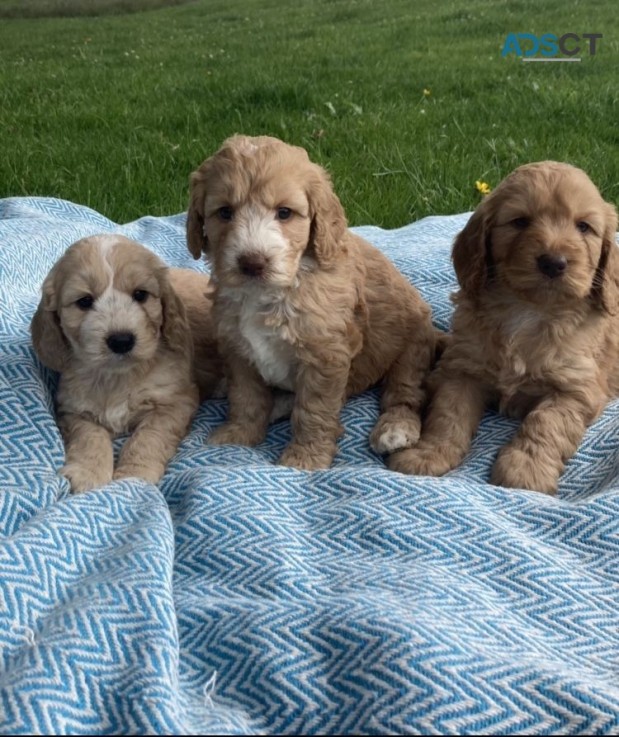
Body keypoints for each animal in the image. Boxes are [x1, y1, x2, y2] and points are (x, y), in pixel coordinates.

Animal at [30, 233, 223, 492]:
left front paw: (134, 475)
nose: (121, 341)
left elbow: (148, 437)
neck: (117, 376)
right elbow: (89, 438)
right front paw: (88, 473)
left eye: (140, 294)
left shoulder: (175, 402)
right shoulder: (73, 409)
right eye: (84, 301)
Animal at [188, 134, 436, 468]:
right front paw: (238, 435)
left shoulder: (324, 357)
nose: (252, 263)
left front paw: (304, 458)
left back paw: (394, 429)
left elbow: (313, 411)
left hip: (411, 348)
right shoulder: (237, 349)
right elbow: (246, 397)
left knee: (405, 392)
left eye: (284, 213)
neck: (273, 292)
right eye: (225, 212)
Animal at [392, 162, 619, 494]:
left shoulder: (576, 389)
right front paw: (428, 454)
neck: (528, 311)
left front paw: (526, 469)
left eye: (583, 227)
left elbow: (546, 423)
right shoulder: (462, 371)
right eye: (520, 222)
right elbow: (448, 415)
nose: (554, 262)